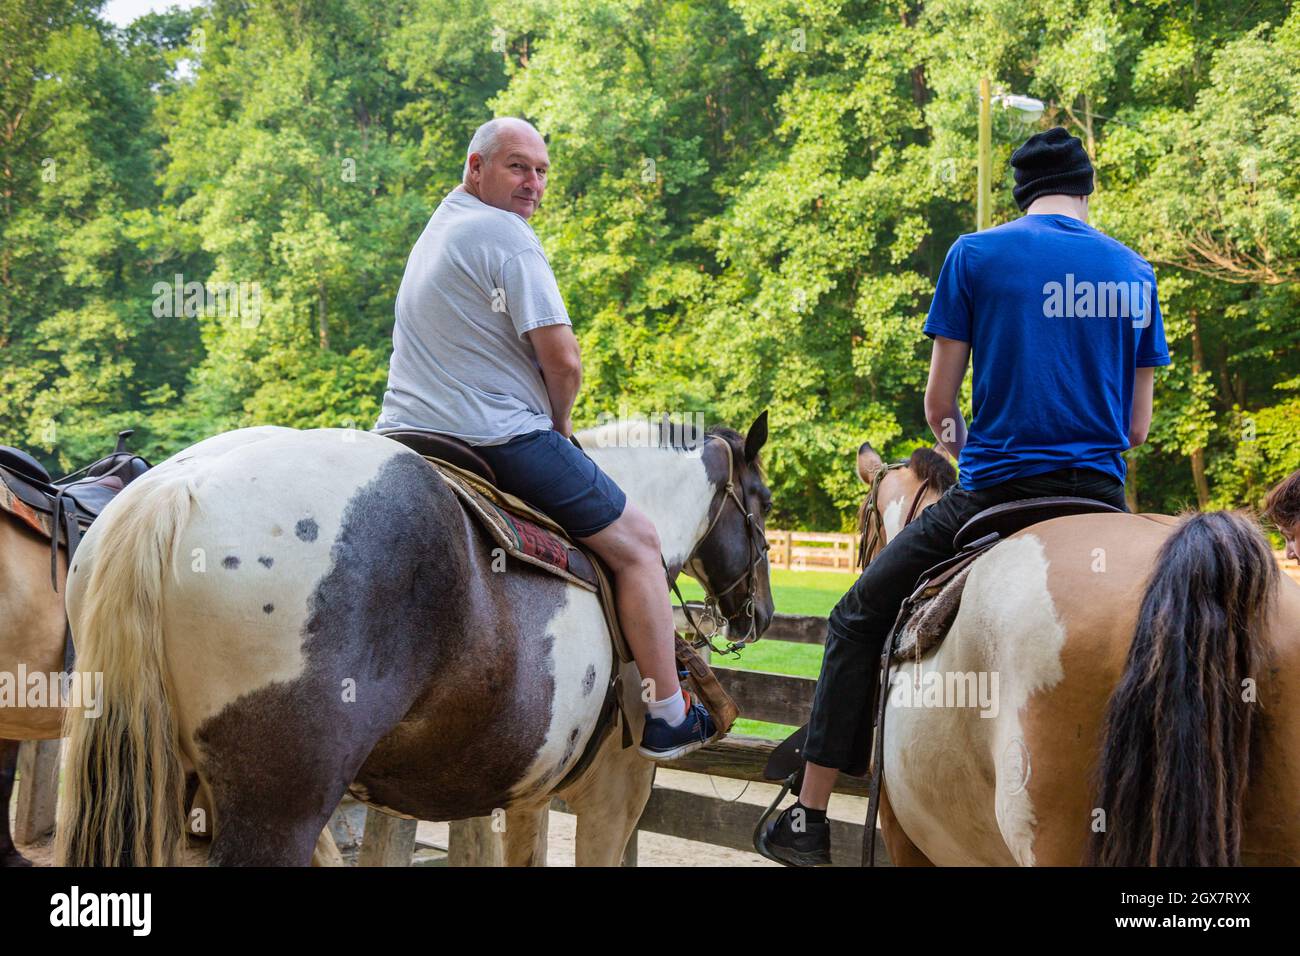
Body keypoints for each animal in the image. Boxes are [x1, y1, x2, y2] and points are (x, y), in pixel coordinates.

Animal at [55, 416, 769, 868]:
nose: (759, 612)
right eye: (760, 502)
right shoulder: (614, 796)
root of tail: (174, 491)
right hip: (278, 802)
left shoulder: (529, 795)